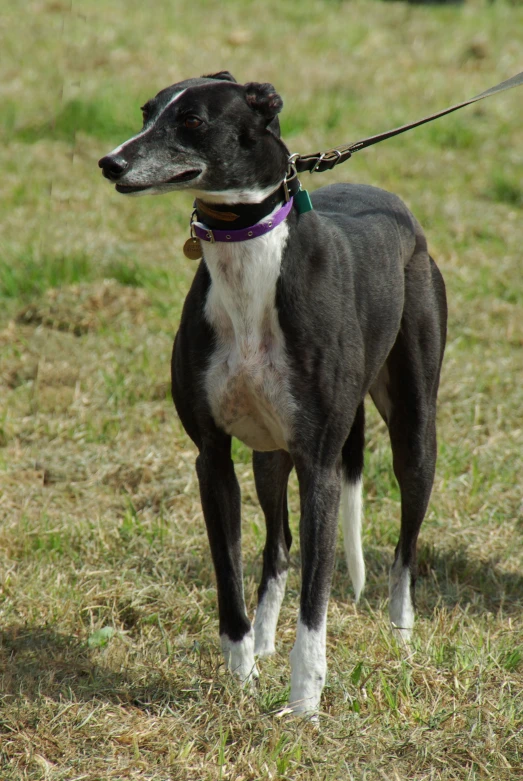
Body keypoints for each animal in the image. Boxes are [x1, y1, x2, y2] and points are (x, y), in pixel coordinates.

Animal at [100, 70, 448, 716]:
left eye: (192, 121)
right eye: (146, 111)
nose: (111, 163)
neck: (249, 261)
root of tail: (396, 207)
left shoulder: (319, 464)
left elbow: (317, 599)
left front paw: (305, 700)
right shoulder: (213, 456)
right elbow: (230, 575)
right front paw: (242, 676)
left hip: (415, 431)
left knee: (405, 546)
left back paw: (402, 635)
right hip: (269, 453)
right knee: (278, 545)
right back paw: (264, 639)